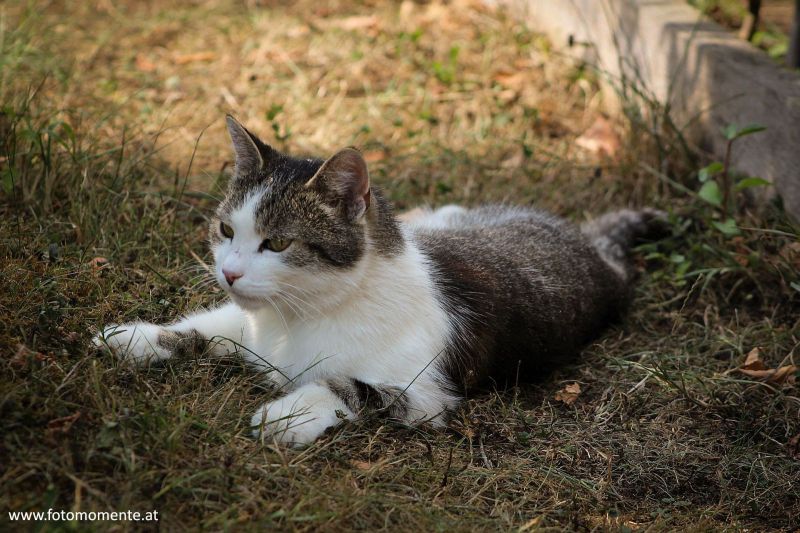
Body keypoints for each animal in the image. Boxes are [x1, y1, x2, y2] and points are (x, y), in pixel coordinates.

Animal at [94, 115, 664, 444]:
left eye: (276, 244)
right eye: (226, 229)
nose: (228, 272)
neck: (306, 313)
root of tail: (588, 242)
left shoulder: (426, 393)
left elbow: (349, 387)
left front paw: (288, 413)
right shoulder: (251, 322)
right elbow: (208, 325)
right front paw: (140, 338)